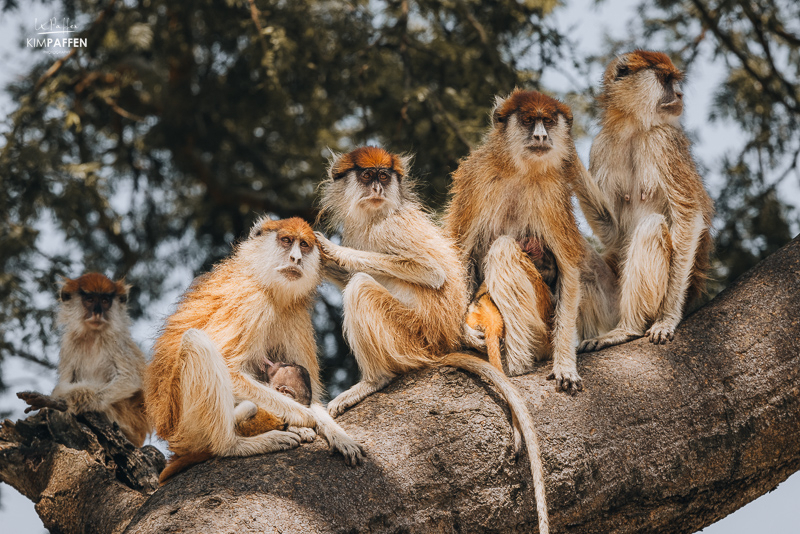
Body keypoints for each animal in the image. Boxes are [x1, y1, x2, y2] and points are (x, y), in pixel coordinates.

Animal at [34, 276, 151, 448]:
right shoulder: (69, 342)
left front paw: (74, 399)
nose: (97, 312)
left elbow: (130, 380)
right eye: (89, 300)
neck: (93, 334)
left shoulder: (115, 340)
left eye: (104, 301)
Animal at [145, 216, 364, 484]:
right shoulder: (252, 300)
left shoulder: (294, 312)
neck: (263, 280)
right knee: (196, 342)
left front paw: (338, 435)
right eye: (286, 240)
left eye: (304, 245)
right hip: (186, 426)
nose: (296, 259)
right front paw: (309, 417)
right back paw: (233, 445)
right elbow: (230, 372)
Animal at [318, 147, 552, 534]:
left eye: (384, 176)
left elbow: (431, 271)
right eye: (367, 176)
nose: (378, 187)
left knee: (362, 288)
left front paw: (333, 252)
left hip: (410, 335)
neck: (378, 212)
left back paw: (373, 381)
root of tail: (442, 345)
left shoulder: (391, 228)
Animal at [576, 49, 712, 352]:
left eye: (674, 79)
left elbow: (689, 217)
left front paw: (667, 319)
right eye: (666, 80)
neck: (634, 128)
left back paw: (627, 329)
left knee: (651, 227)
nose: (680, 94)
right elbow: (614, 234)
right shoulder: (601, 145)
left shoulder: (664, 140)